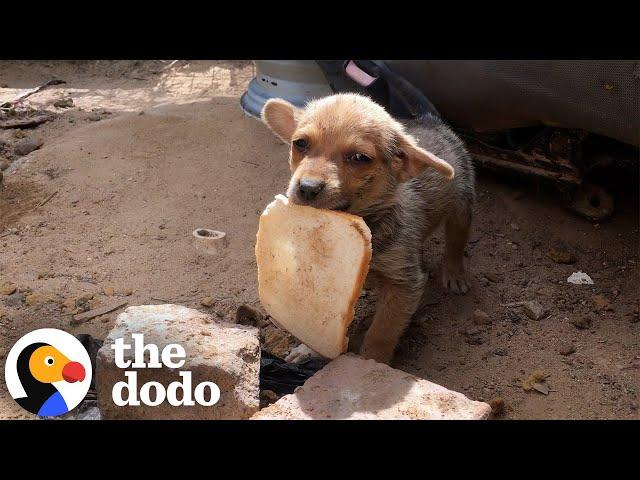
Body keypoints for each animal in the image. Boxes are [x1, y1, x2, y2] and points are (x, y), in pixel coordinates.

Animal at [260, 93, 476, 364]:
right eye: (300, 143)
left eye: (360, 158)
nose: (307, 188)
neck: (369, 224)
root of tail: (429, 120)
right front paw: (308, 349)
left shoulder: (403, 285)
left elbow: (381, 332)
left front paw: (373, 362)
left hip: (461, 205)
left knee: (457, 241)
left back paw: (455, 273)